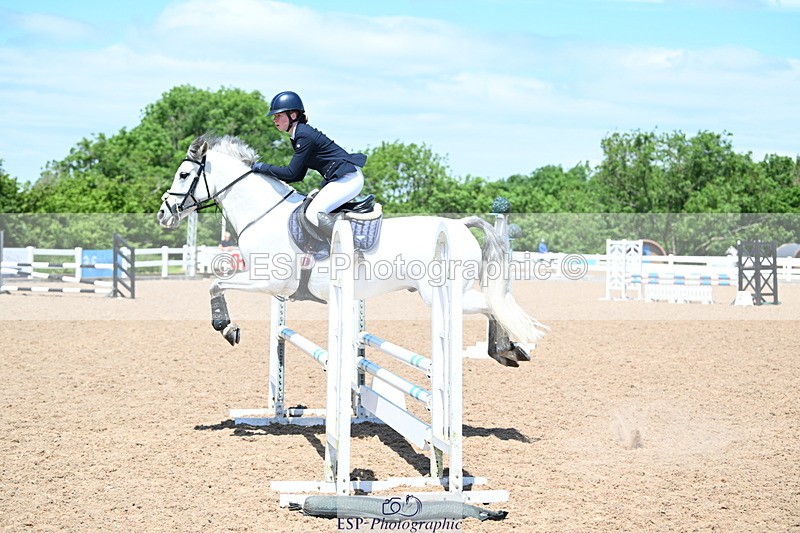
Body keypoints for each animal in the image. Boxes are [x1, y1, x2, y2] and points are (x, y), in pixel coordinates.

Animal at [157, 134, 545, 366]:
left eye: (183, 175)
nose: (164, 213)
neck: (264, 213)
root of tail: (460, 225)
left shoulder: (271, 283)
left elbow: (216, 283)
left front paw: (225, 327)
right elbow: (216, 282)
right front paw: (227, 326)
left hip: (444, 294)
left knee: (493, 306)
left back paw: (508, 349)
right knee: (493, 305)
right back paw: (508, 351)